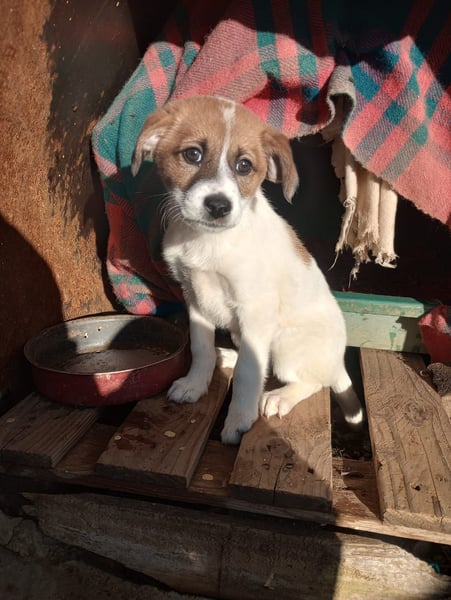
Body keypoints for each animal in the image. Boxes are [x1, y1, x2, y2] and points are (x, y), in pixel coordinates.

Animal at [132, 95, 363, 444]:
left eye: (244, 166)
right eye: (192, 154)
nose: (218, 206)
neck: (209, 242)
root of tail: (337, 362)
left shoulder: (254, 309)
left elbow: (248, 372)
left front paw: (239, 418)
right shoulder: (194, 299)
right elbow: (201, 348)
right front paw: (195, 384)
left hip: (285, 347)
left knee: (311, 381)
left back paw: (279, 397)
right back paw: (226, 357)